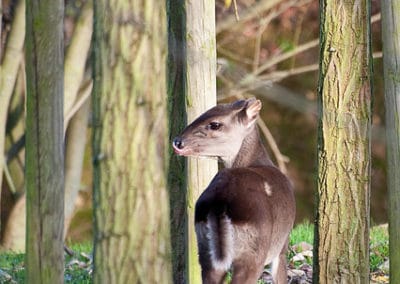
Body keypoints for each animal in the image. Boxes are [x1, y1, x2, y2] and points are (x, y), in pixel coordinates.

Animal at [173, 98, 296, 284]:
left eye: (215, 124)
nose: (177, 142)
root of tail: (220, 203)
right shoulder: (282, 246)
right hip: (253, 250)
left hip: (205, 249)